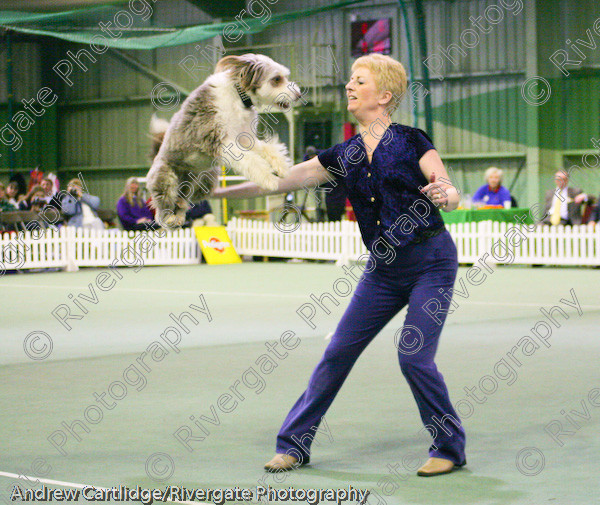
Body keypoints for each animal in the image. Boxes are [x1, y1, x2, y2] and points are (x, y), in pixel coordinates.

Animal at [148, 54, 302, 227]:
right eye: (276, 79)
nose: (299, 94)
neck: (239, 96)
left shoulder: (245, 139)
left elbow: (266, 149)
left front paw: (281, 166)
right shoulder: (218, 140)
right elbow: (251, 161)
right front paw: (269, 179)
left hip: (200, 184)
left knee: (182, 202)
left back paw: (180, 215)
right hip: (167, 179)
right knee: (161, 209)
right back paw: (169, 218)